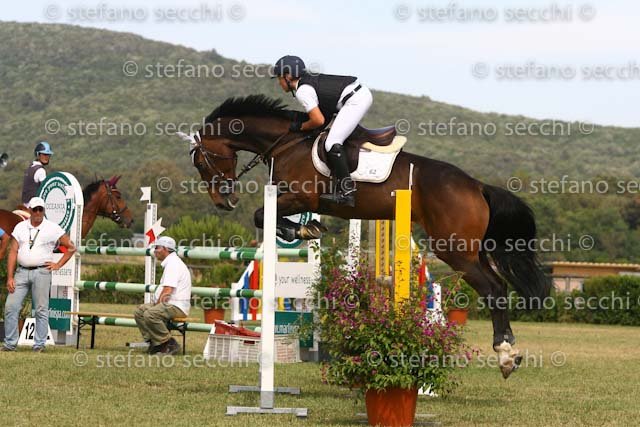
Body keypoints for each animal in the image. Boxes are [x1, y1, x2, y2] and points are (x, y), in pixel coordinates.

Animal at [184, 95, 550, 379]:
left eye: (201, 161)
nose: (224, 201)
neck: (287, 143)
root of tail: (477, 186)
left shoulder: (301, 197)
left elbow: (261, 215)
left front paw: (302, 229)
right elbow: (268, 217)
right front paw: (306, 229)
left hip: (454, 250)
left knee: (494, 290)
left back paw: (505, 354)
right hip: (472, 251)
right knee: (498, 285)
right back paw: (509, 352)